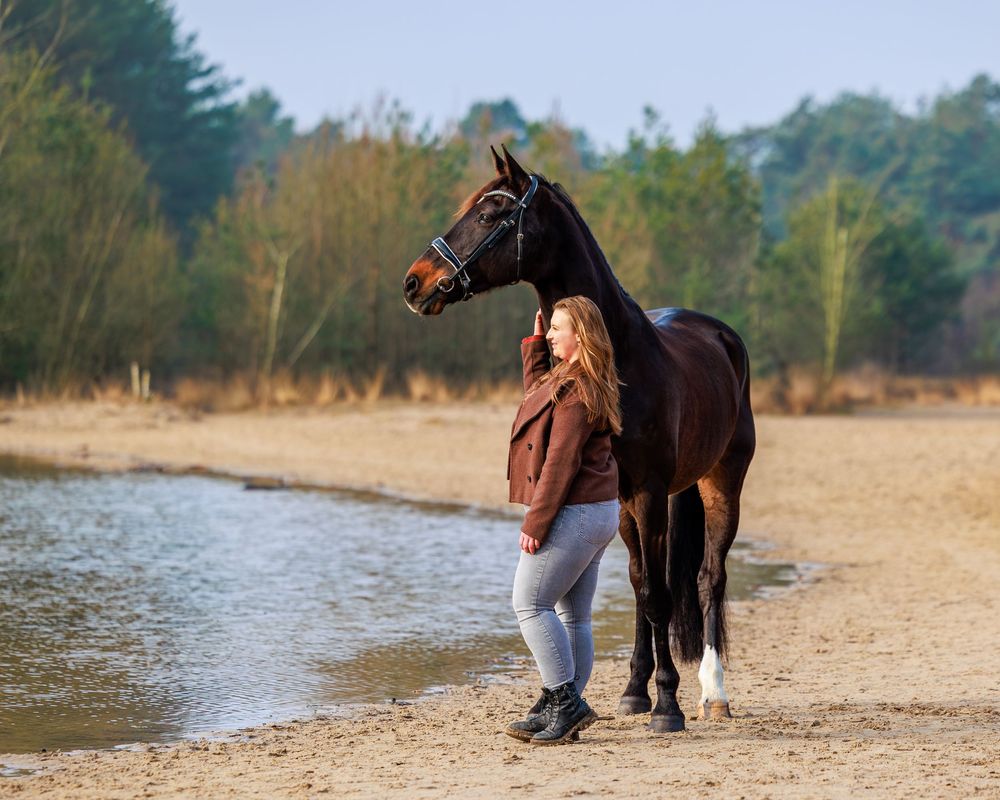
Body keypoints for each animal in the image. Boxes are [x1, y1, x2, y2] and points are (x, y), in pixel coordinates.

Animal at [402, 145, 756, 733]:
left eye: (490, 215)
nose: (414, 282)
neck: (622, 357)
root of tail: (723, 337)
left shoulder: (648, 491)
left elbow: (658, 594)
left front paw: (669, 705)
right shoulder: (621, 495)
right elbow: (641, 586)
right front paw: (638, 693)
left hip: (721, 482)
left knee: (709, 577)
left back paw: (714, 691)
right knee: (648, 582)